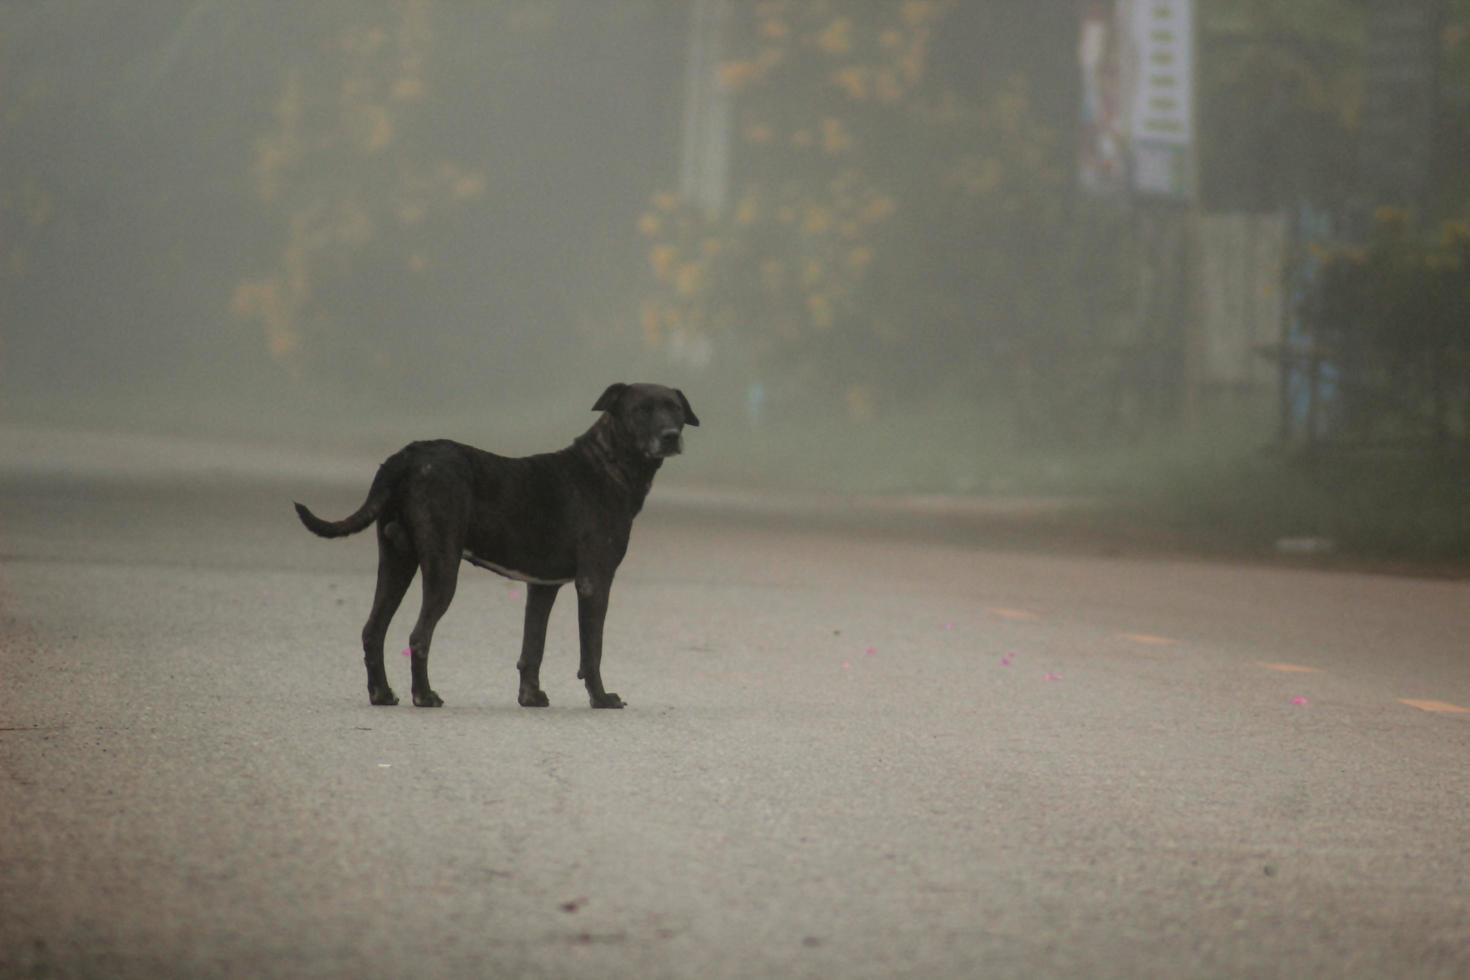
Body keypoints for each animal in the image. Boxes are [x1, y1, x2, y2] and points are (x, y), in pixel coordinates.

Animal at [294, 382, 699, 714]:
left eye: (675, 408)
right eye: (641, 410)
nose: (670, 435)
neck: (608, 464)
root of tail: (406, 457)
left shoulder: (543, 587)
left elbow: (532, 647)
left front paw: (531, 698)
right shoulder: (595, 582)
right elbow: (592, 649)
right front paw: (601, 699)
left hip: (397, 562)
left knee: (373, 630)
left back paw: (381, 694)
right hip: (442, 568)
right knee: (418, 636)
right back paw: (425, 696)